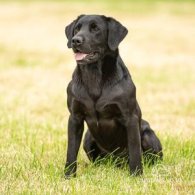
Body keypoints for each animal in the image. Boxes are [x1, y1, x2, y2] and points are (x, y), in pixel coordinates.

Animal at [63, 14, 161, 177]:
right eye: (77, 28)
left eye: (95, 29)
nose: (75, 40)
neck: (94, 76)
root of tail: (117, 163)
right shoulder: (75, 117)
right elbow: (71, 151)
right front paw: (68, 176)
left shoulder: (130, 117)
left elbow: (135, 150)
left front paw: (136, 175)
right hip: (88, 138)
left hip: (148, 134)